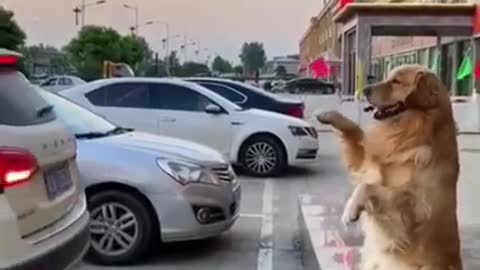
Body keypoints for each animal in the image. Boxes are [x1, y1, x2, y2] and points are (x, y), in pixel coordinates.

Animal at [318, 64, 462, 268]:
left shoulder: (413, 207)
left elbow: (367, 187)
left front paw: (350, 210)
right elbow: (354, 130)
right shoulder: (368, 162)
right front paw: (328, 114)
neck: (410, 133)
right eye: (388, 77)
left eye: (396, 81)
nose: (365, 89)